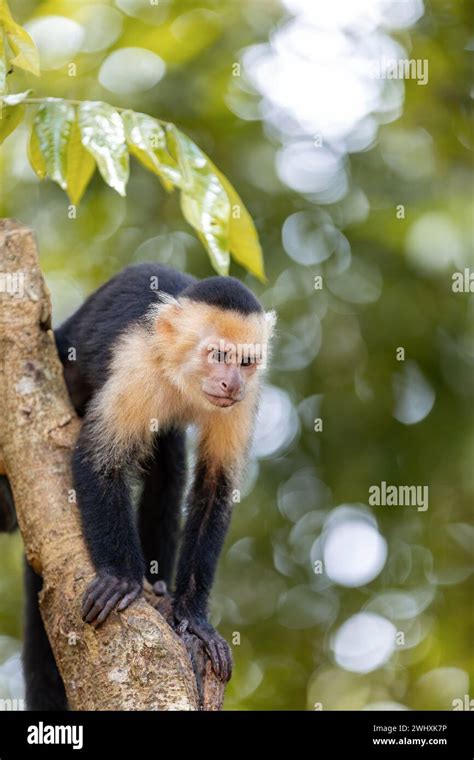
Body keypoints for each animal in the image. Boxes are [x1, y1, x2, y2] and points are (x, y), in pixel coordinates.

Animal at [0, 264, 274, 708]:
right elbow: (98, 459)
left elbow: (215, 489)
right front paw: (121, 580)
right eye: (219, 356)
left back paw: (158, 581)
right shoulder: (137, 361)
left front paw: (193, 618)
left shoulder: (244, 402)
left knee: (168, 462)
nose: (231, 383)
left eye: (246, 362)